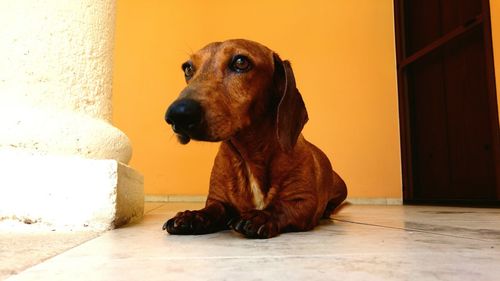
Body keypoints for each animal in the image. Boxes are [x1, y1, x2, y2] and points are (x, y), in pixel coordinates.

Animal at [162, 38, 346, 237]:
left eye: (241, 62)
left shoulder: (304, 201)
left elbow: (281, 208)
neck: (249, 157)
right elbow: (213, 209)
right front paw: (192, 216)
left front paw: (261, 216)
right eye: (187, 68)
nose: (177, 114)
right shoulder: (216, 199)